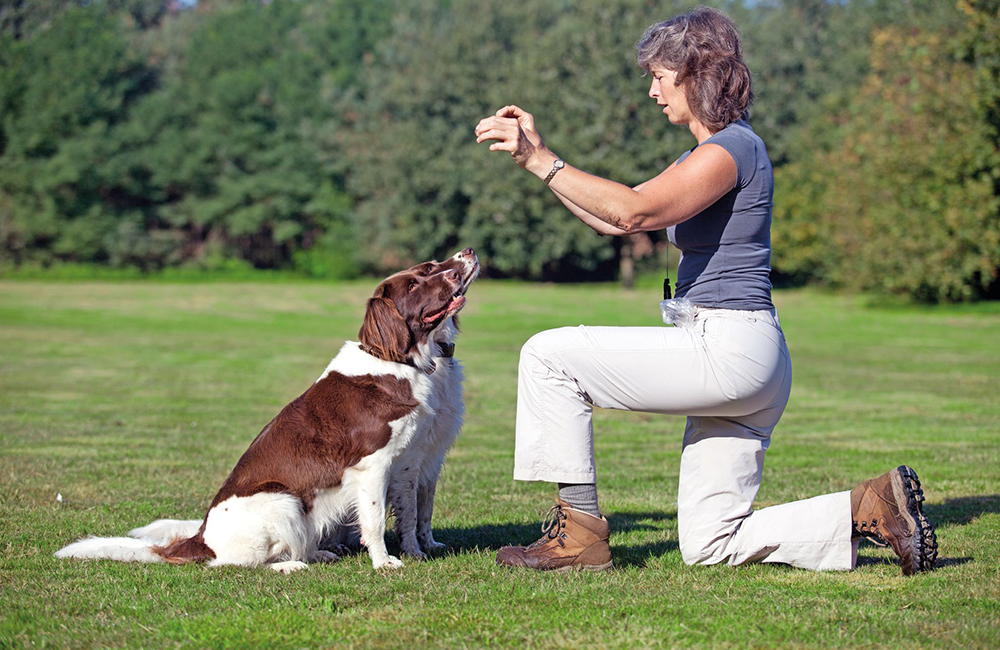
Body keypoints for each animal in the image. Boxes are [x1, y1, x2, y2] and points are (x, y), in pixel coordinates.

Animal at [54, 246, 480, 568]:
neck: (400, 361)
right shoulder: (373, 465)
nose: (468, 251)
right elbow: (375, 521)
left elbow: (413, 512)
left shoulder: (413, 458)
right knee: (234, 564)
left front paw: (418, 550)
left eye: (431, 266)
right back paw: (292, 565)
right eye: (416, 281)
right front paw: (384, 563)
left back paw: (318, 554)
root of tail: (201, 538)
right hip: (284, 500)